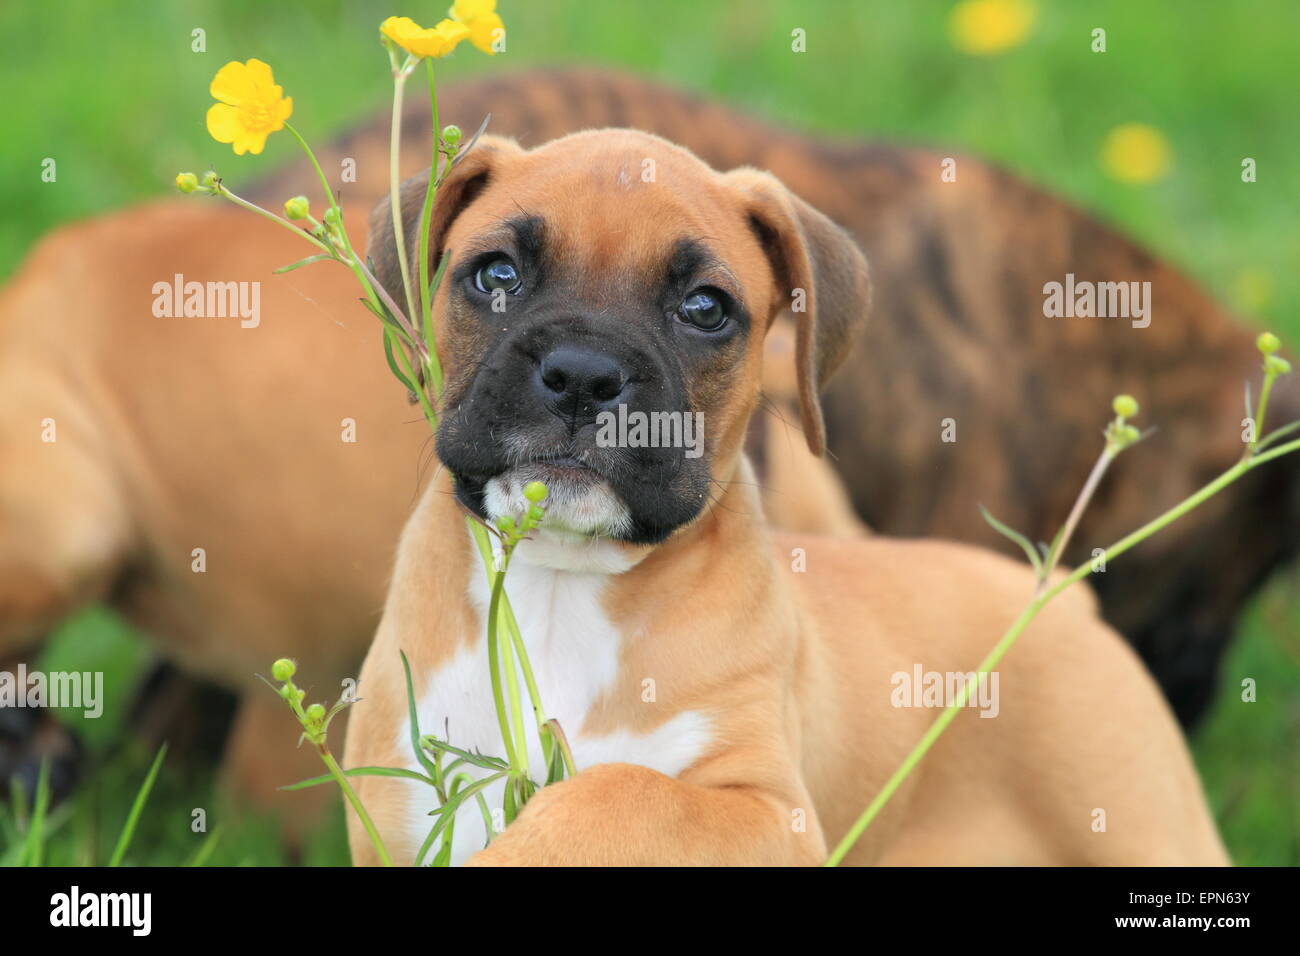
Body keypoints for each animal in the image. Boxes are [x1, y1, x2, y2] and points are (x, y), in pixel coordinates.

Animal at [340, 130, 1222, 868]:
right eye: (496, 274)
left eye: (705, 308)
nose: (584, 374)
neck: (562, 587)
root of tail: (1055, 592)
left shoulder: (772, 818)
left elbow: (623, 793)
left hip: (1144, 826)